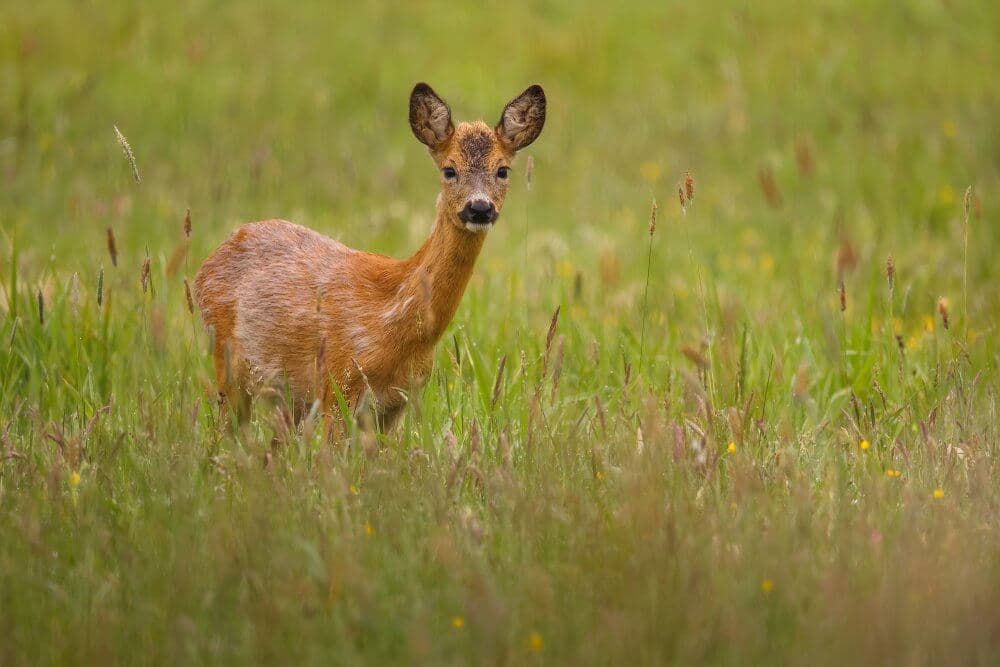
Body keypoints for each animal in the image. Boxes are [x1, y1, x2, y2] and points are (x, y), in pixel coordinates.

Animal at [194, 82, 546, 435]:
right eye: (450, 170)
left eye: (502, 170)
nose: (480, 208)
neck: (393, 322)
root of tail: (206, 266)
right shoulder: (338, 386)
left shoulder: (397, 403)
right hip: (228, 364)